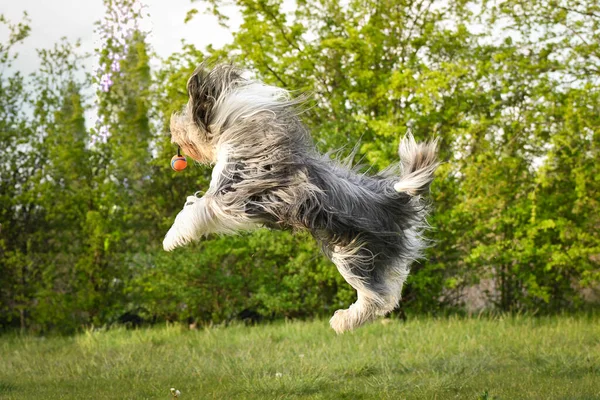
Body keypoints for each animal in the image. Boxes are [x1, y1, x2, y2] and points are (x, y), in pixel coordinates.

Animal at [162, 62, 438, 332]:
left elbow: (196, 208)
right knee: (389, 294)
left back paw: (342, 321)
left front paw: (171, 240)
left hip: (356, 252)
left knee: (376, 297)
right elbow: (194, 204)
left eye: (185, 116)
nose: (172, 130)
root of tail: (395, 198)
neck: (235, 129)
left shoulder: (233, 192)